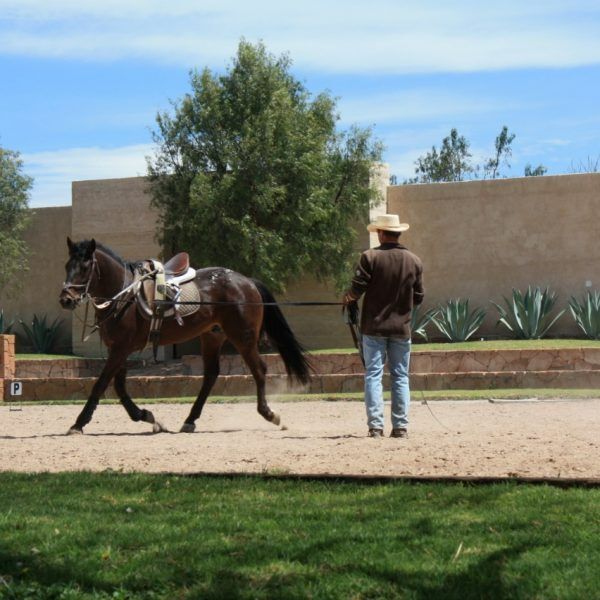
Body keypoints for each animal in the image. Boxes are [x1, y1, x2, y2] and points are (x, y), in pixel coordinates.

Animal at [58, 237, 312, 434]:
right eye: (67, 265)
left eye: (85, 267)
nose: (66, 299)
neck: (125, 295)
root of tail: (247, 281)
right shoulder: (118, 349)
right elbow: (119, 387)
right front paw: (147, 416)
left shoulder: (121, 349)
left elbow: (101, 384)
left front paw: (78, 424)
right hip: (212, 336)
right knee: (211, 375)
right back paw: (190, 420)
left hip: (243, 337)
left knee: (259, 369)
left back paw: (269, 413)